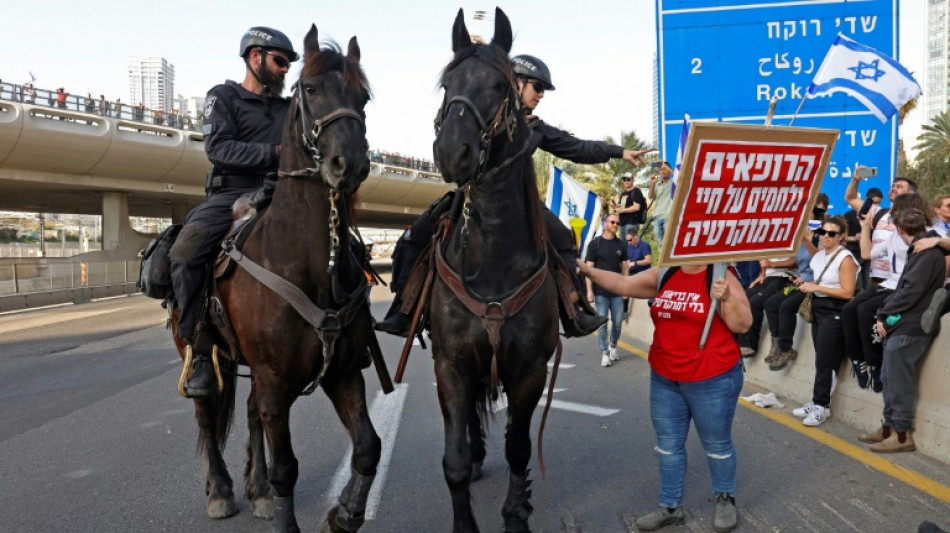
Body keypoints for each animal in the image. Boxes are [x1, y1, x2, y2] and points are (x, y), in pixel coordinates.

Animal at [175, 27, 386, 532]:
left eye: (364, 97)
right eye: (309, 88)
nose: (350, 164)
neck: (306, 266)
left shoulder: (342, 372)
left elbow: (368, 448)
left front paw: (345, 513)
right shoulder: (274, 377)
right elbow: (288, 466)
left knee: (252, 414)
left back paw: (258, 488)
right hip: (201, 351)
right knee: (206, 411)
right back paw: (221, 490)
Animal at [428, 8, 560, 532]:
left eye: (500, 86)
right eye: (447, 84)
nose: (452, 152)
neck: (493, 262)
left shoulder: (530, 369)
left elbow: (520, 449)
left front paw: (517, 513)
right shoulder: (451, 363)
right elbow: (454, 460)